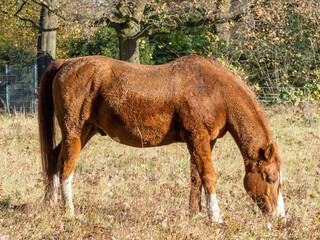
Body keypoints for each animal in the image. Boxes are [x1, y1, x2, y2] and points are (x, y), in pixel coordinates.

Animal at [38, 54, 286, 221]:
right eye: (271, 179)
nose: (280, 216)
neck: (213, 90)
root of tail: (65, 63)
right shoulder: (198, 137)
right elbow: (208, 176)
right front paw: (216, 218)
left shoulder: (203, 142)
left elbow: (196, 177)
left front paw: (195, 214)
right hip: (75, 131)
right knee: (66, 167)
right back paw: (69, 212)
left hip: (86, 131)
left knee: (54, 159)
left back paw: (50, 204)